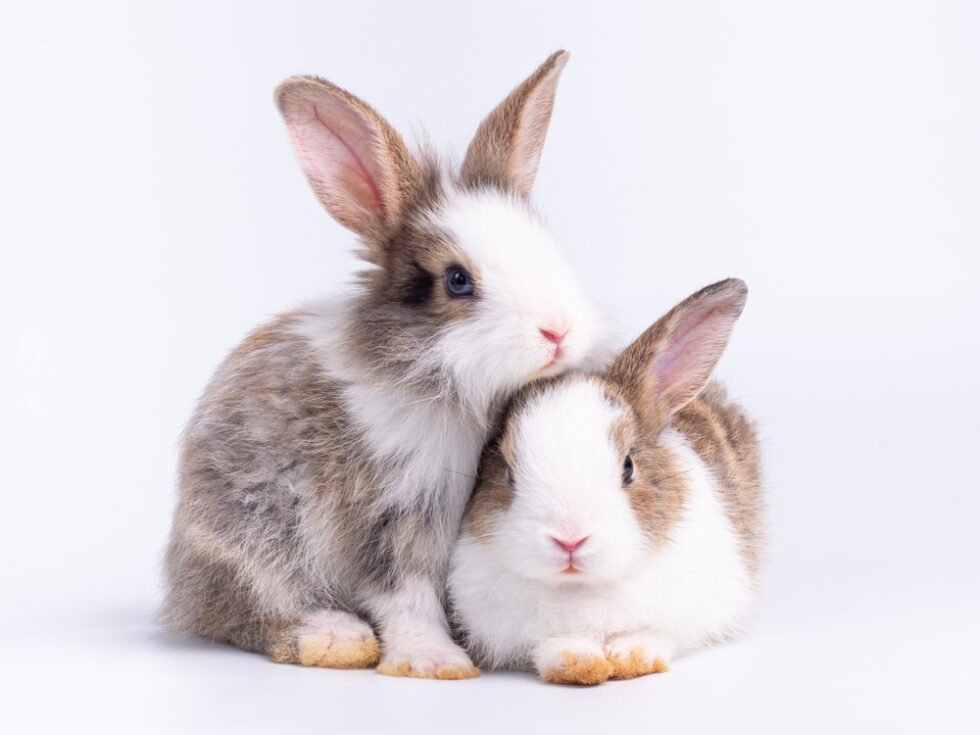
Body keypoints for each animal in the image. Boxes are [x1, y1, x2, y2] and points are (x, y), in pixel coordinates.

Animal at [160, 51, 611, 679]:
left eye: (551, 250)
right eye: (457, 280)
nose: (559, 331)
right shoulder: (390, 512)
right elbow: (406, 593)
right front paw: (435, 662)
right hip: (252, 538)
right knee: (241, 613)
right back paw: (332, 637)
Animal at [448, 278, 764, 685]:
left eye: (628, 466)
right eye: (508, 472)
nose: (570, 539)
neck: (583, 585)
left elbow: (654, 634)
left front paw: (634, 659)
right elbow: (553, 644)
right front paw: (579, 664)